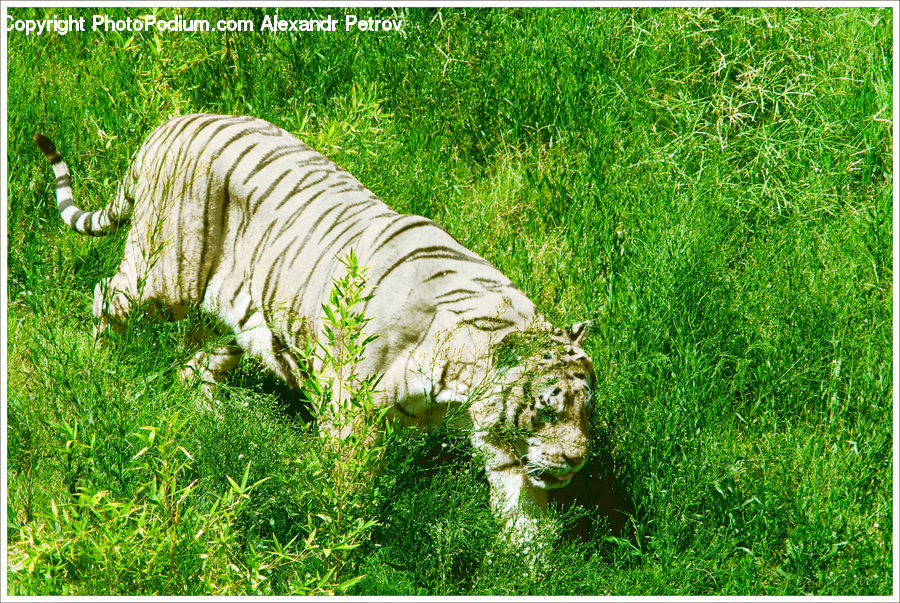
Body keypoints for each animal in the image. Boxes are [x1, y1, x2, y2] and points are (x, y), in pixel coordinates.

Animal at [33, 113, 597, 543]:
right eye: (547, 408)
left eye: (585, 411)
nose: (575, 462)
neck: (459, 381)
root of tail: (171, 124)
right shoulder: (352, 415)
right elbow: (346, 489)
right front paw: (340, 541)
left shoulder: (508, 452)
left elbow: (523, 520)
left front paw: (528, 571)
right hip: (164, 276)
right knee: (106, 295)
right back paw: (98, 368)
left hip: (238, 317)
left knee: (196, 365)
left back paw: (215, 418)